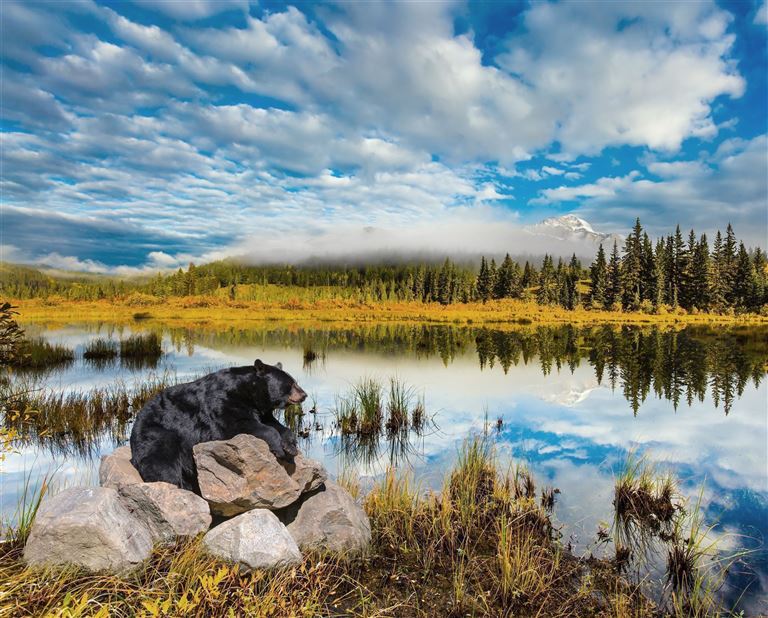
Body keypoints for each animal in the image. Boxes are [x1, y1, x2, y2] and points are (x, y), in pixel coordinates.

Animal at [129, 359, 307, 492]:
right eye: (291, 383)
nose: (304, 394)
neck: (249, 392)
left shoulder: (262, 411)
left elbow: (277, 425)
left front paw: (290, 446)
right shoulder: (222, 401)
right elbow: (239, 425)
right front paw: (278, 448)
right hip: (157, 434)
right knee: (163, 464)